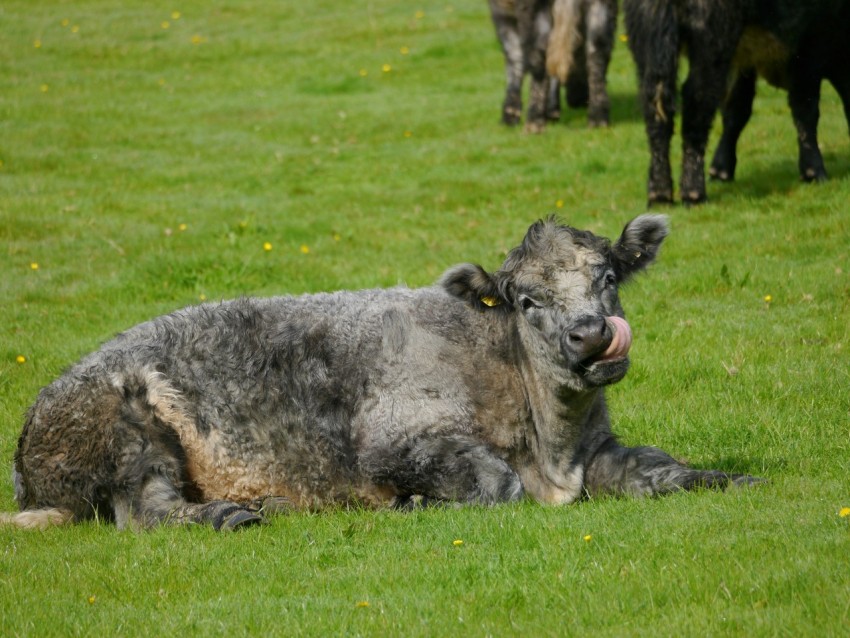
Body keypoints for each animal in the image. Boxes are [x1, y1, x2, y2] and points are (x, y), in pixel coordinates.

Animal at [1, 218, 756, 532]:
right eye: (525, 301)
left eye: (607, 277)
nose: (592, 334)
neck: (550, 443)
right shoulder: (395, 440)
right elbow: (495, 484)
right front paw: (417, 504)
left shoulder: (597, 449)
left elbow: (655, 466)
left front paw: (724, 477)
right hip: (128, 430)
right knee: (145, 511)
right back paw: (228, 513)